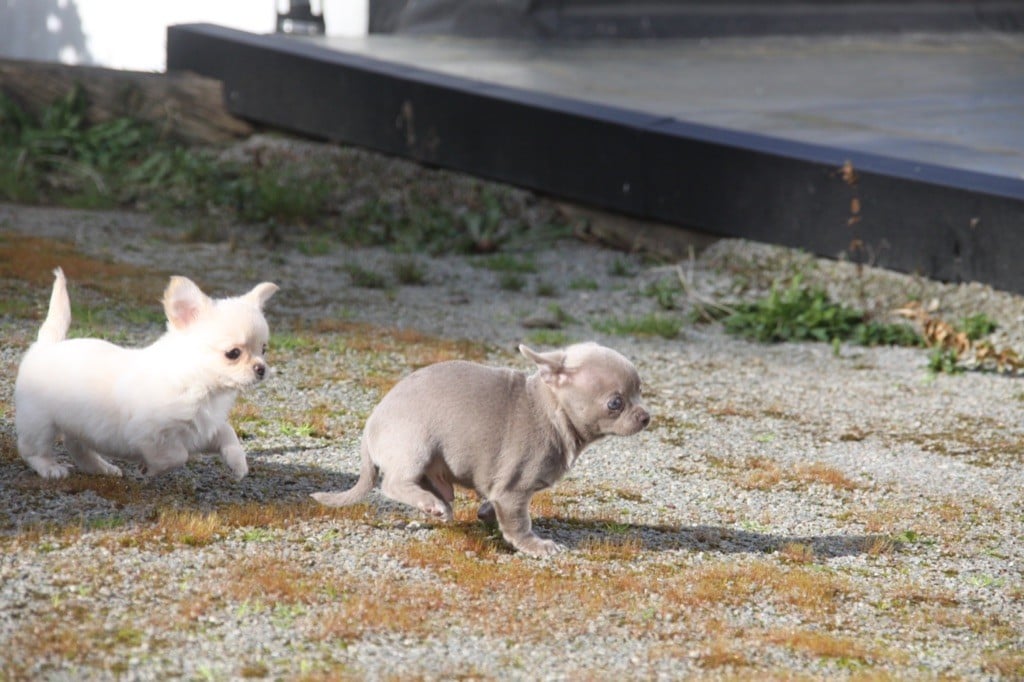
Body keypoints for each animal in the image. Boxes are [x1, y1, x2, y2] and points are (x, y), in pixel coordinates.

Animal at [14, 266, 278, 477]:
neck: (199, 385)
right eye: (233, 353)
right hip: (39, 422)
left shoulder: (203, 430)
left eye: (263, 350)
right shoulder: (151, 433)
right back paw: (51, 468)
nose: (261, 369)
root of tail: (46, 345)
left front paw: (238, 464)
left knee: (76, 446)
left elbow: (228, 434)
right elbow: (177, 456)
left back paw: (101, 467)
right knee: (32, 449)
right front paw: (149, 468)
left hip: (79, 425)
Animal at [309, 342, 647, 557]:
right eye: (615, 403)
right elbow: (518, 523)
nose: (646, 417)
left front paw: (485, 512)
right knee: (393, 483)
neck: (551, 410)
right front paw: (536, 546)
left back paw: (439, 505)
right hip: (414, 445)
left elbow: (491, 503)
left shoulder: (500, 489)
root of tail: (369, 429)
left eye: (641, 392)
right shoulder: (513, 490)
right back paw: (429, 504)